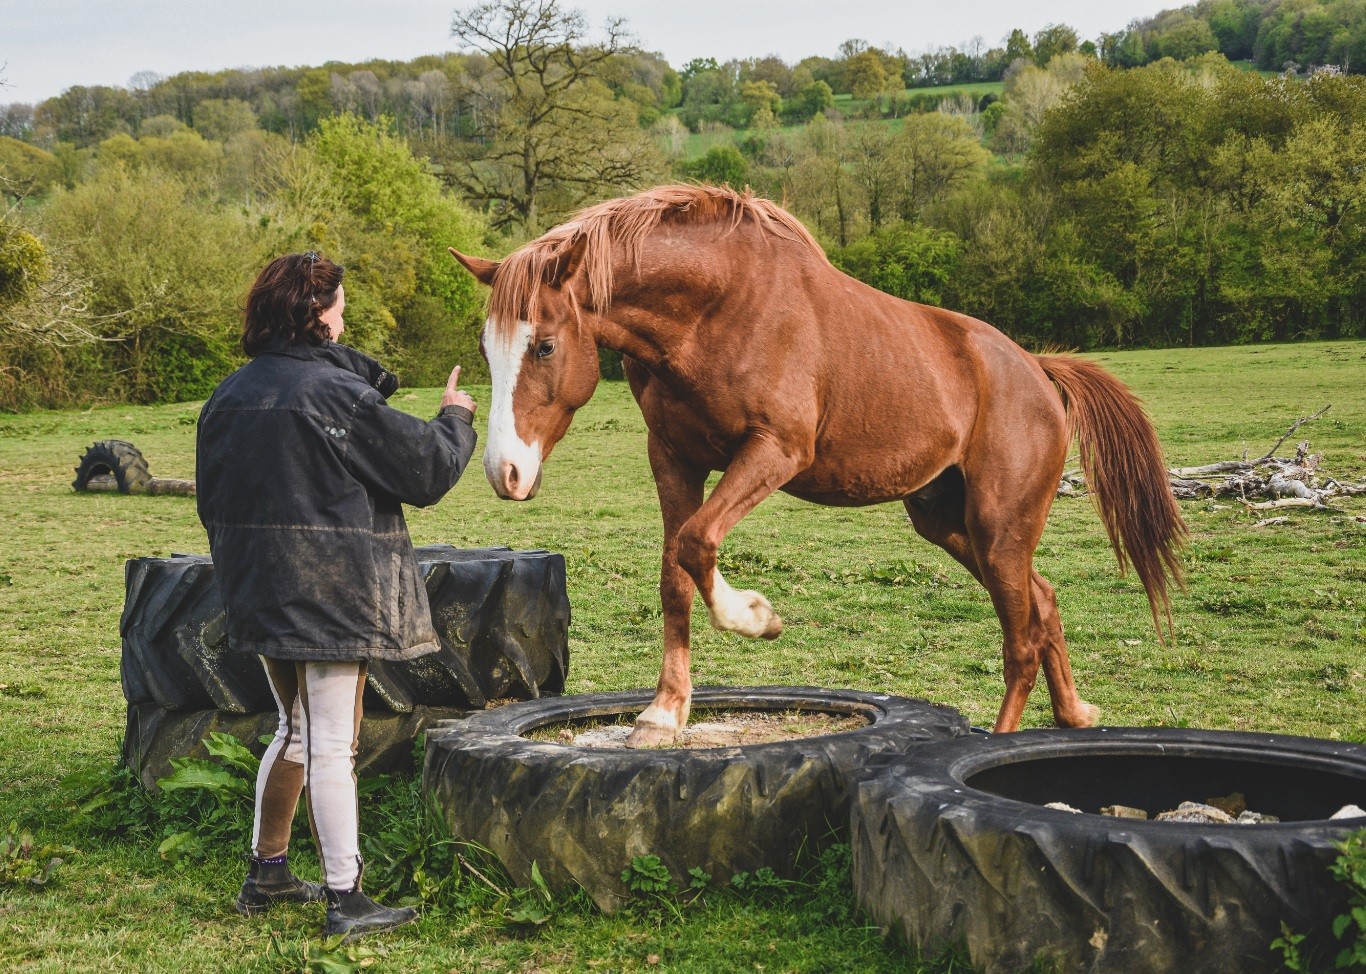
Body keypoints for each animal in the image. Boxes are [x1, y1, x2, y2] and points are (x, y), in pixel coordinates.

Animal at [450, 184, 1185, 743]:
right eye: (487, 351)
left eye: (544, 345)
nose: (504, 474)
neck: (713, 310)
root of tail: (1037, 369)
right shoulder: (673, 459)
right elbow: (674, 575)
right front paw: (664, 712)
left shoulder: (775, 450)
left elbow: (697, 543)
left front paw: (755, 617)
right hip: (950, 524)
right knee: (1043, 602)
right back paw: (1074, 715)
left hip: (998, 527)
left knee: (1021, 638)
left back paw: (999, 747)